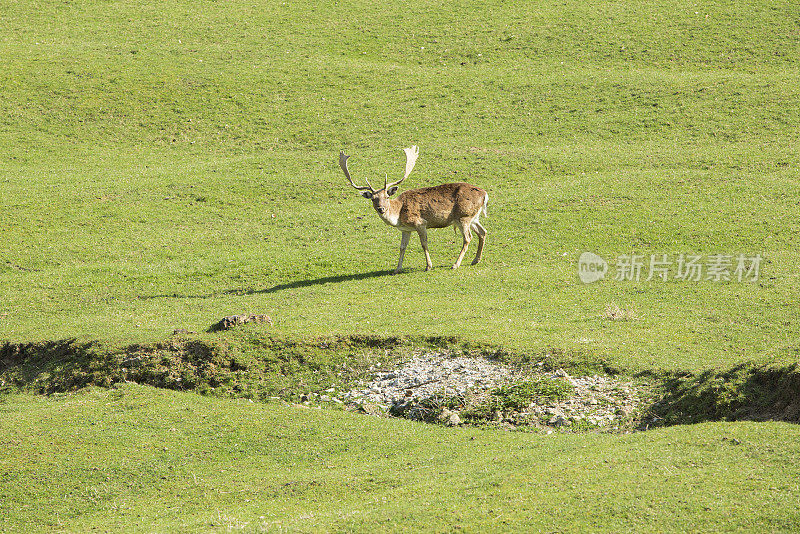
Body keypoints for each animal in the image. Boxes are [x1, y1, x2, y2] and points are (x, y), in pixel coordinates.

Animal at [340, 144, 488, 274]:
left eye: (386, 196)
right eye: (373, 199)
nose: (381, 208)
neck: (399, 215)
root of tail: (484, 194)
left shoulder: (420, 223)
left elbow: (424, 243)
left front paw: (428, 266)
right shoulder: (405, 229)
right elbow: (402, 247)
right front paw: (397, 269)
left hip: (463, 216)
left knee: (468, 238)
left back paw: (455, 264)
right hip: (473, 217)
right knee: (483, 231)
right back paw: (476, 260)